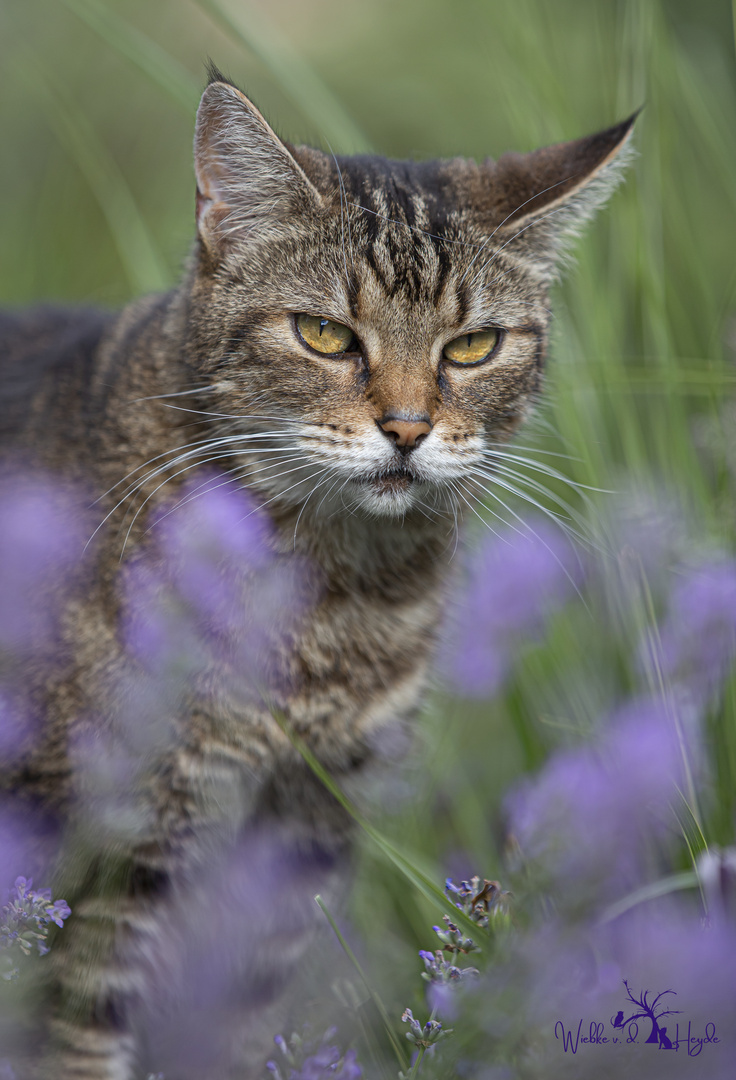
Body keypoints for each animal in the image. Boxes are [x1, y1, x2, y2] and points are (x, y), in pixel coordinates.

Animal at [0, 69, 631, 1080]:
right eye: (325, 335)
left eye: (472, 346)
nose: (409, 428)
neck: (338, 596)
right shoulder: (108, 841)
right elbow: (77, 1037)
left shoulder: (303, 827)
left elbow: (245, 1024)